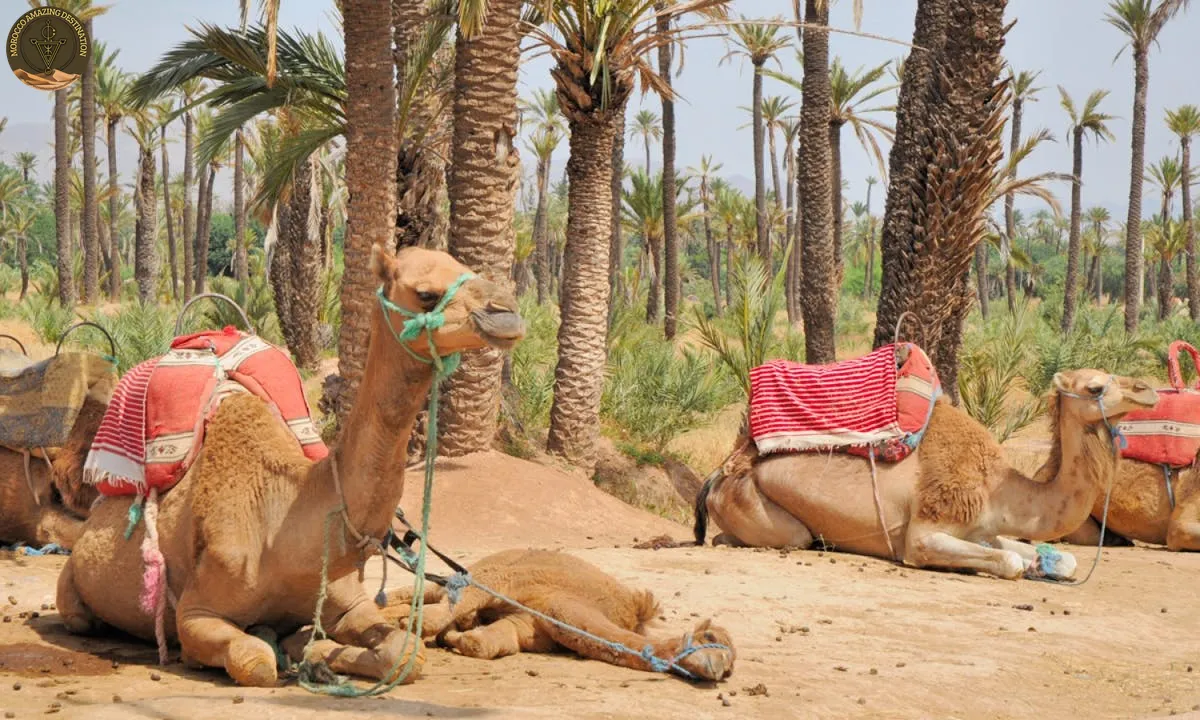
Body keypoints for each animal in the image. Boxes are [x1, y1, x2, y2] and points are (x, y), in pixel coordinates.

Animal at [55, 246, 526, 687]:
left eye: (465, 266)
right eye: (426, 294)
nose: (508, 312)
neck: (284, 523)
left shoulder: (349, 602)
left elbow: (405, 654)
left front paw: (312, 650)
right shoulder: (196, 612)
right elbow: (255, 660)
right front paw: (291, 652)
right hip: (72, 590)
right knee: (81, 616)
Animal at [381, 548, 735, 682]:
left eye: (731, 665)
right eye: (710, 637)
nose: (719, 670)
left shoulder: (530, 624)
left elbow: (483, 644)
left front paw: (457, 636)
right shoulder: (505, 581)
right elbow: (454, 607)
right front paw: (418, 627)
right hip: (484, 567)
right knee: (425, 590)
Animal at [695, 370, 1159, 580]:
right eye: (1096, 387)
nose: (1148, 390)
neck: (999, 488)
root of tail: (720, 472)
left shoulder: (983, 529)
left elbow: (1064, 557)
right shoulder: (926, 531)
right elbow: (1009, 562)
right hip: (759, 507)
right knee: (777, 537)